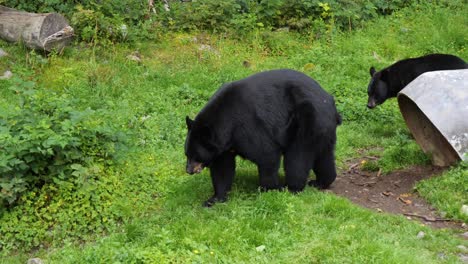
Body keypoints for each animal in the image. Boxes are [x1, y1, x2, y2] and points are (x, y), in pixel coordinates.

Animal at [185, 69, 342, 207]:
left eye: (196, 156)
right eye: (187, 154)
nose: (188, 170)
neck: (226, 124)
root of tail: (330, 102)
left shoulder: (248, 127)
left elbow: (266, 154)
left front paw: (269, 190)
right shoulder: (224, 147)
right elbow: (222, 169)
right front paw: (214, 199)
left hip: (307, 121)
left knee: (297, 158)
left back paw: (291, 188)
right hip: (323, 129)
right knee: (324, 156)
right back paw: (320, 182)